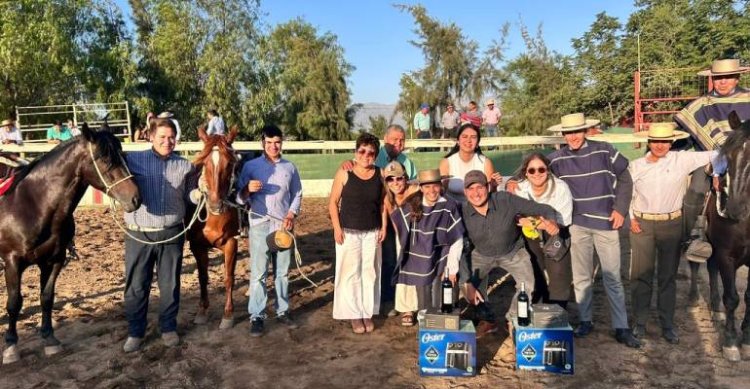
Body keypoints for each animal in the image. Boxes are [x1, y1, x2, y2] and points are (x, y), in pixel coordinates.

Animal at [0, 125, 141, 364]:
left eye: (124, 155)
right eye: (104, 158)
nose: (135, 198)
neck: (31, 205)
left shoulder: (53, 261)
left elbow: (46, 298)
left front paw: (49, 339)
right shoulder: (12, 262)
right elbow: (14, 303)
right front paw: (10, 346)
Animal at [188, 125, 241, 328]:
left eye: (230, 164)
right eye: (204, 163)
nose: (216, 205)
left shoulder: (231, 243)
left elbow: (228, 278)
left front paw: (228, 314)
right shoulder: (197, 246)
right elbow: (203, 277)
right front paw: (202, 311)